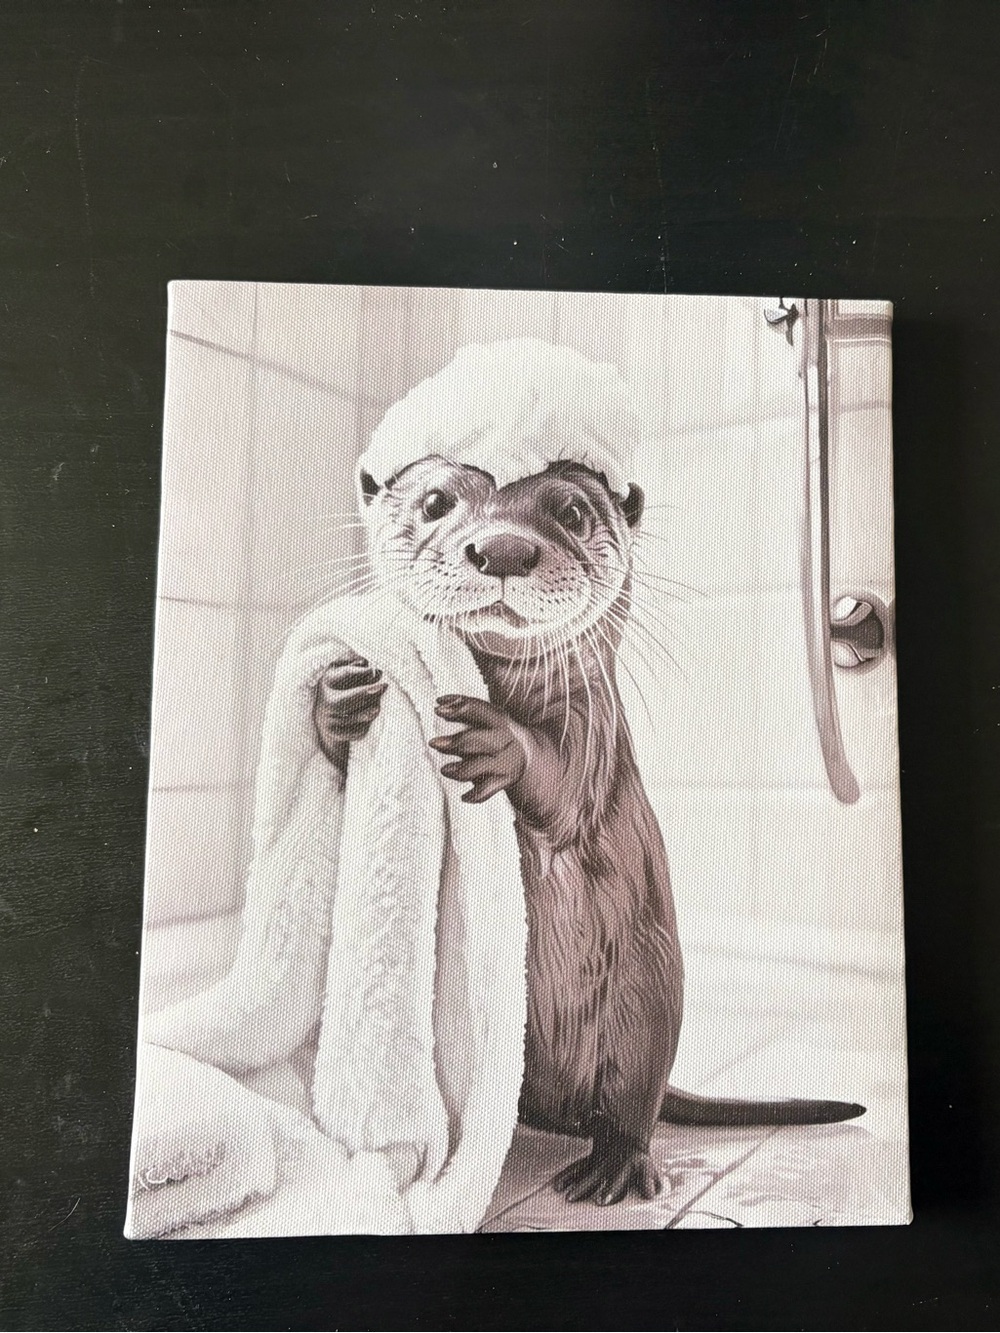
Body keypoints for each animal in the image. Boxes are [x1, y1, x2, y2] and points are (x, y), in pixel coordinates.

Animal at [312, 455, 864, 1206]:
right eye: (434, 502)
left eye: (571, 512)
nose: (503, 549)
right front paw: (335, 699)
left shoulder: (594, 724)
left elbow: (565, 784)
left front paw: (499, 740)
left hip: (645, 995)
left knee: (632, 1102)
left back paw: (614, 1166)